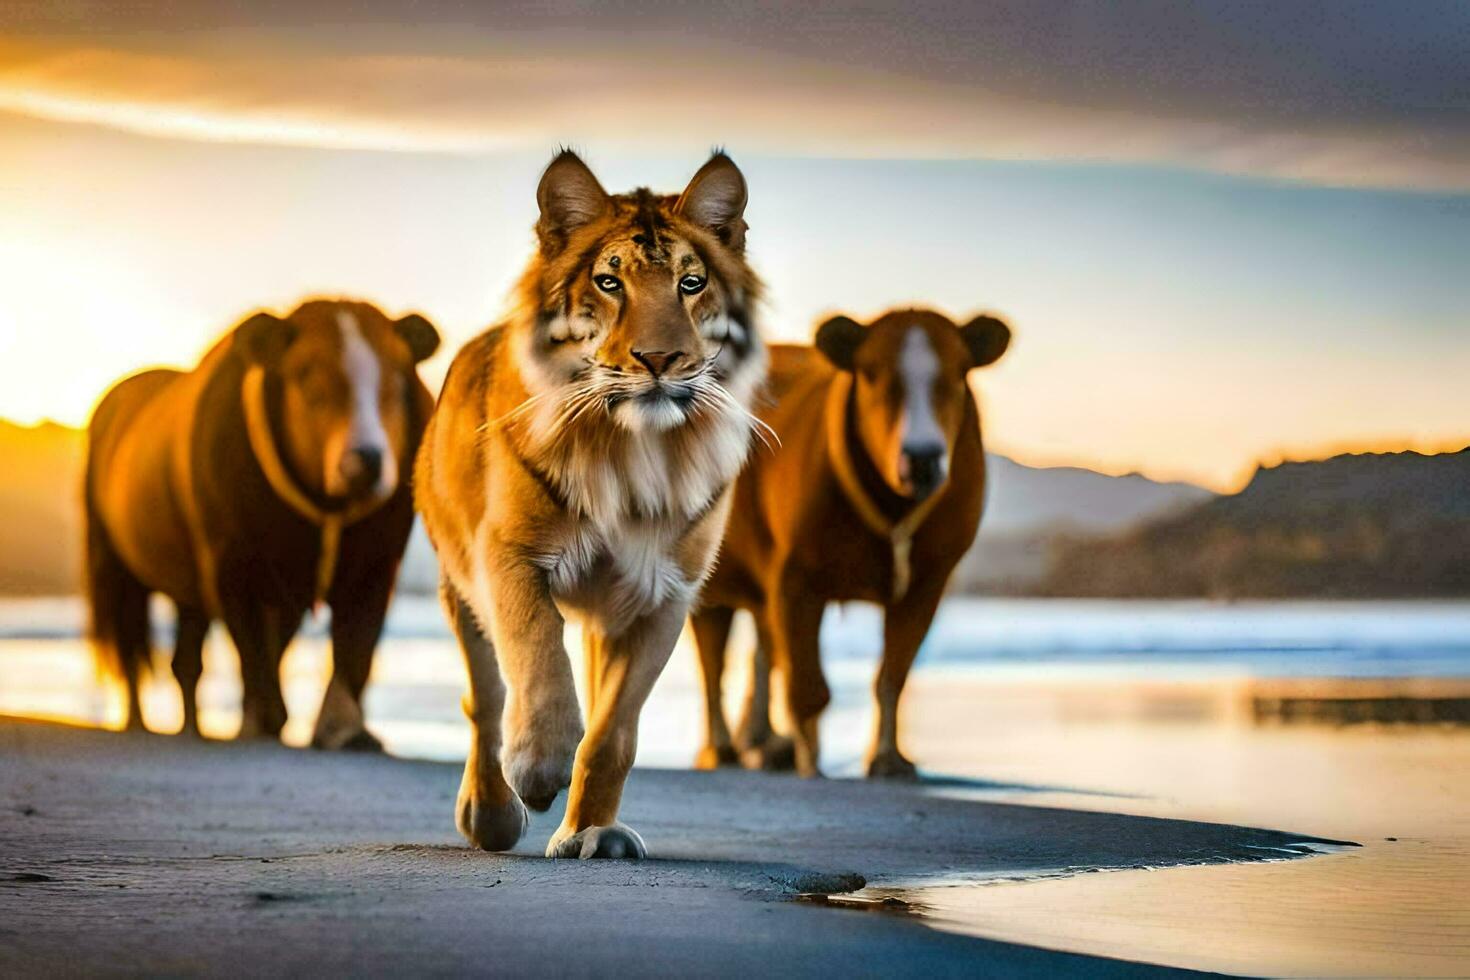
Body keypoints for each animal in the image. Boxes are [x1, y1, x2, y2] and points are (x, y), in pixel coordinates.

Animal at [84, 299, 438, 752]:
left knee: (186, 660)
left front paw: (344, 727)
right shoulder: (228, 566)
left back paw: (192, 727)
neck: (325, 507)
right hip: (112, 564)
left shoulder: (376, 565)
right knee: (129, 644)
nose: (366, 460)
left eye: (396, 376)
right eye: (306, 377)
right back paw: (138, 722)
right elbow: (252, 649)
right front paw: (261, 720)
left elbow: (356, 644)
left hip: (190, 589)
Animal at [408, 151, 764, 858]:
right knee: (484, 697)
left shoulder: (663, 594)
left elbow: (612, 732)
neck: (636, 453)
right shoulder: (508, 553)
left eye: (690, 283)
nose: (659, 358)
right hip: (457, 582)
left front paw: (591, 833)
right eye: (608, 281)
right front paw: (538, 768)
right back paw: (492, 812)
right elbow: (536, 649)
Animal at [687, 310, 1011, 775]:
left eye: (957, 374)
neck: (893, 513)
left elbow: (892, 676)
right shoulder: (795, 581)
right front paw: (812, 765)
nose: (922, 458)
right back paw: (722, 747)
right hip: (710, 580)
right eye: (871, 373)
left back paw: (767, 743)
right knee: (713, 662)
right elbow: (807, 687)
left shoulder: (927, 584)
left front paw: (889, 758)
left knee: (762, 653)